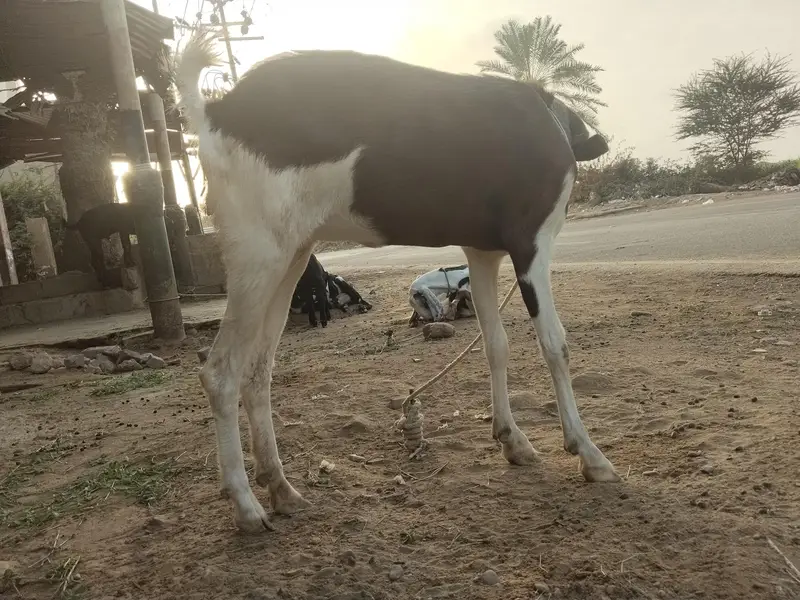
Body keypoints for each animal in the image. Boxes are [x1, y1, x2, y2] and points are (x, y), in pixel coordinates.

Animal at [174, 32, 618, 533]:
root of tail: (217, 110)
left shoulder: (481, 253)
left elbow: (495, 345)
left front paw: (512, 439)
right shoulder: (532, 245)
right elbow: (555, 345)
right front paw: (589, 453)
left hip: (291, 257)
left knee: (257, 371)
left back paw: (281, 489)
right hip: (258, 258)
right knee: (221, 372)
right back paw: (247, 506)